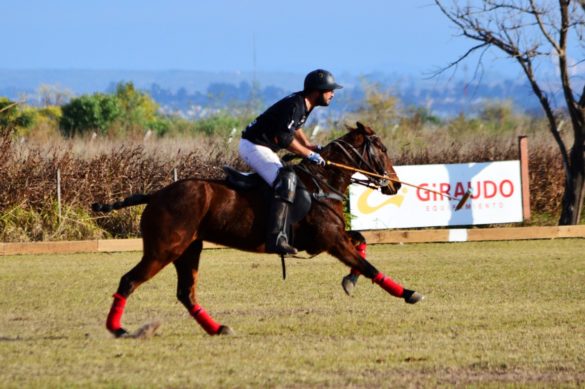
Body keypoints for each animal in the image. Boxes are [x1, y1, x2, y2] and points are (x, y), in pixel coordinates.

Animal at [93, 122, 422, 336]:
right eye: (382, 148)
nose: (394, 185)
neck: (321, 183)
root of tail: (155, 195)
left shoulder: (330, 237)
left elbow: (361, 242)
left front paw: (349, 281)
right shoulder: (330, 239)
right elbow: (368, 265)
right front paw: (408, 292)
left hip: (188, 250)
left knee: (185, 293)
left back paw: (217, 329)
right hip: (164, 250)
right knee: (129, 280)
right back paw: (117, 329)